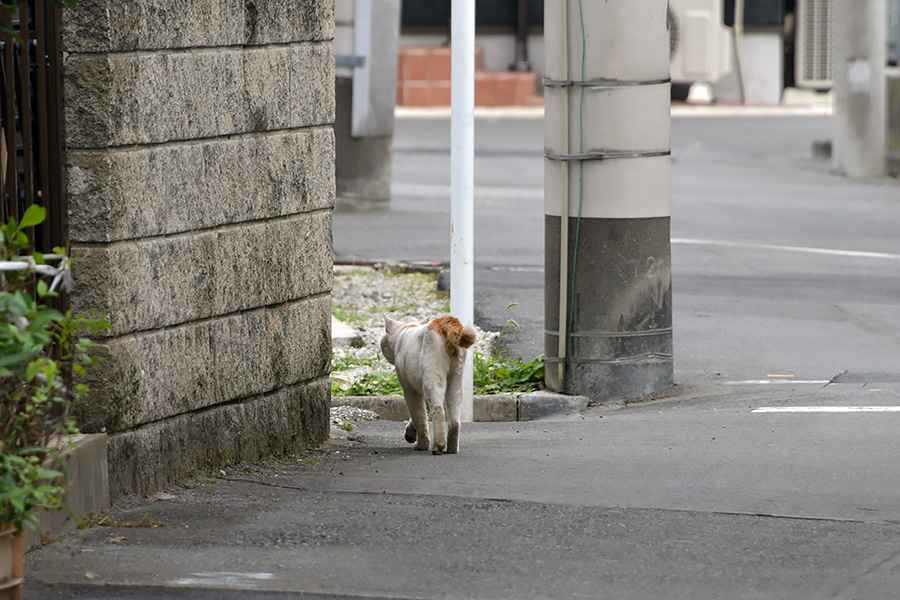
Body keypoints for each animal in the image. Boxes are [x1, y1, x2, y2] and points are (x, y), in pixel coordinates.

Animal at [380, 314, 478, 454]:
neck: (405, 329)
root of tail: (445, 320)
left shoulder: (410, 390)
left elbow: (419, 417)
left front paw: (422, 444)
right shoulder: (420, 389)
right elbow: (419, 415)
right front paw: (410, 433)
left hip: (432, 377)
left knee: (438, 410)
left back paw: (439, 446)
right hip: (455, 379)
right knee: (454, 416)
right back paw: (452, 447)